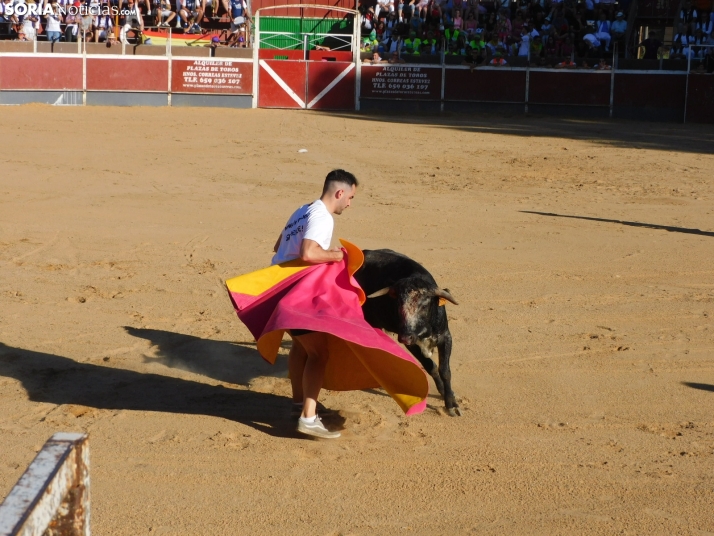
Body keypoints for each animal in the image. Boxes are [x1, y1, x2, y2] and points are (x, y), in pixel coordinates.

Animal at [354, 249, 458, 416]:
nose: (404, 337)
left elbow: (445, 370)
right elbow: (431, 366)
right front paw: (447, 399)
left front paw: (450, 401)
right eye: (398, 305)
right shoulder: (413, 344)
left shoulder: (445, 337)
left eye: (424, 305)